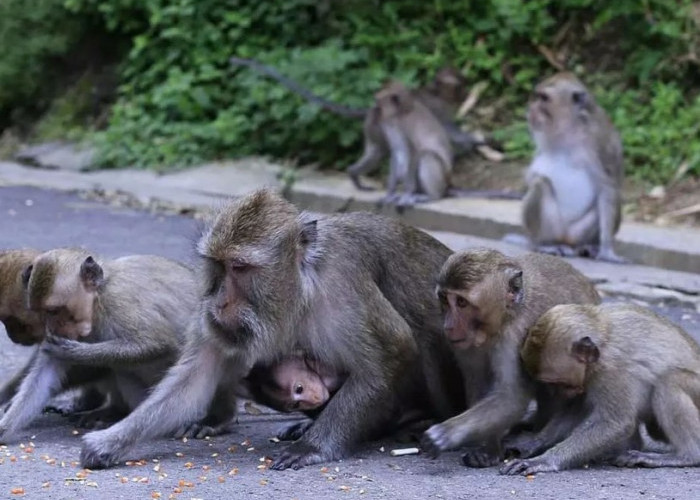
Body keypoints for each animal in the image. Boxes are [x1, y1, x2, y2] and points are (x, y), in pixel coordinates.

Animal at [80, 189, 464, 470]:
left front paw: (314, 446)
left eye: (240, 267)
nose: (219, 302)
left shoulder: (343, 282)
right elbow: (194, 379)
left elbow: (392, 352)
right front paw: (111, 441)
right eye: (217, 265)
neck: (299, 289)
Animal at [422, 248, 600, 466]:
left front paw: (446, 433)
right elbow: (478, 383)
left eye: (462, 302)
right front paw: (488, 448)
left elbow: (510, 397)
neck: (506, 317)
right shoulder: (466, 346)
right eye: (445, 299)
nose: (449, 325)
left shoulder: (516, 336)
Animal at [500, 302, 700, 474]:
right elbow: (577, 409)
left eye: (559, 383)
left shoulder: (610, 369)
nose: (558, 394)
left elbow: (615, 422)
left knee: (670, 381)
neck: (603, 338)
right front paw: (533, 442)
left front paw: (544, 460)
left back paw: (687, 456)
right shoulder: (587, 378)